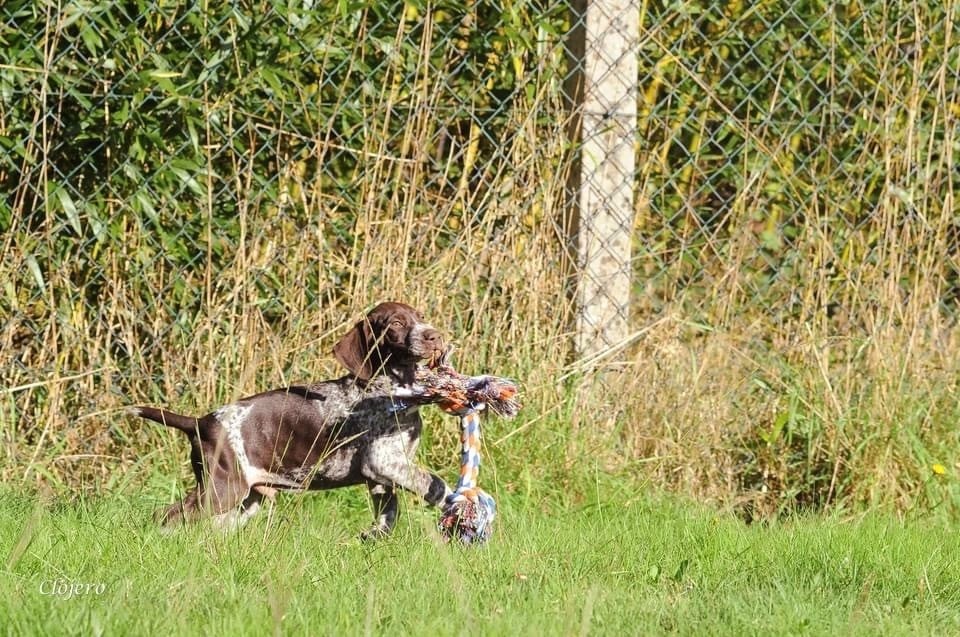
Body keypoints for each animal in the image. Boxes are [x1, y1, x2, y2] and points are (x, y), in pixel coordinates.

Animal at [130, 302, 454, 536]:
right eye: (396, 323)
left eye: (420, 317)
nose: (435, 335)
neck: (391, 390)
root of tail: (202, 422)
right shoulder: (382, 462)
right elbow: (434, 483)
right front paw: (459, 506)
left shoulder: (381, 477)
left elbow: (389, 514)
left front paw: (374, 537)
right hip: (223, 489)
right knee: (169, 515)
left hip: (247, 499)